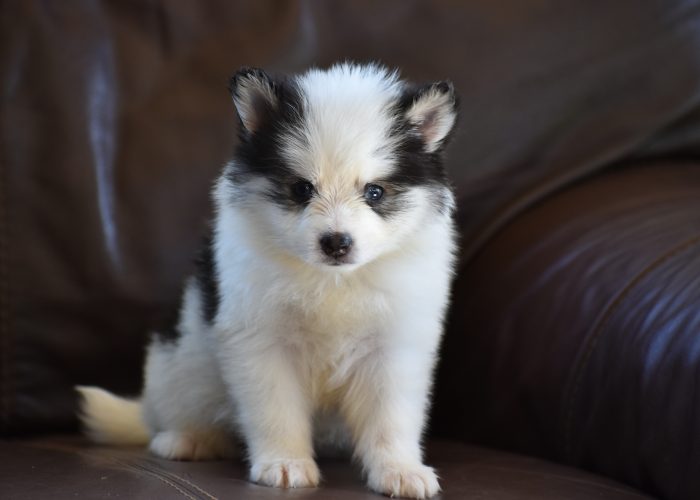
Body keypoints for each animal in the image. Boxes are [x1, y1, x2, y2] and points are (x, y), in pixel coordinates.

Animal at [78, 62, 460, 500]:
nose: (336, 243)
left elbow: (391, 416)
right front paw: (285, 463)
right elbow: (276, 410)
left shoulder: (394, 346)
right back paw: (187, 439)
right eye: (302, 188)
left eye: (375, 192)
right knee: (178, 415)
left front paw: (399, 469)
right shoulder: (263, 342)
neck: (332, 281)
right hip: (179, 366)